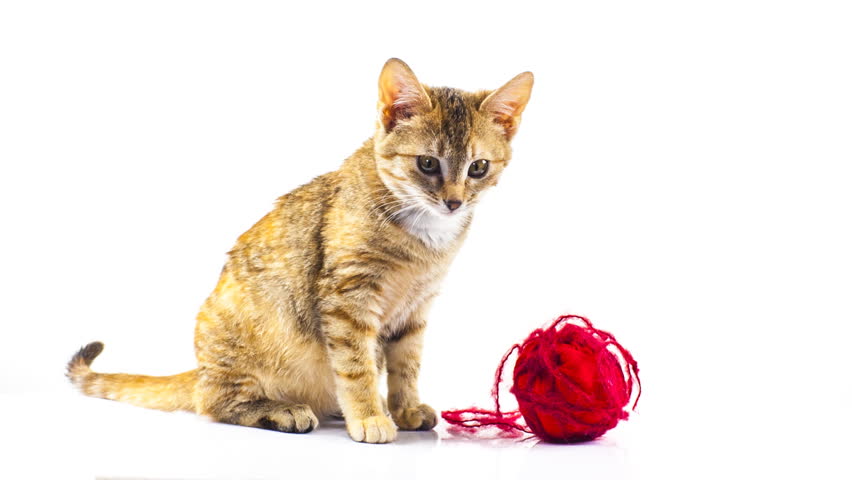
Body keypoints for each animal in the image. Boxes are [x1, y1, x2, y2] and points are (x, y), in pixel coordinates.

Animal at [68, 58, 532, 444]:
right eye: (428, 164)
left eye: (478, 168)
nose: (454, 202)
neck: (423, 237)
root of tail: (200, 369)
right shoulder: (347, 300)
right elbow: (356, 367)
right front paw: (368, 415)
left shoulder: (416, 309)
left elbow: (406, 366)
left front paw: (403, 409)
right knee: (213, 403)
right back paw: (284, 410)